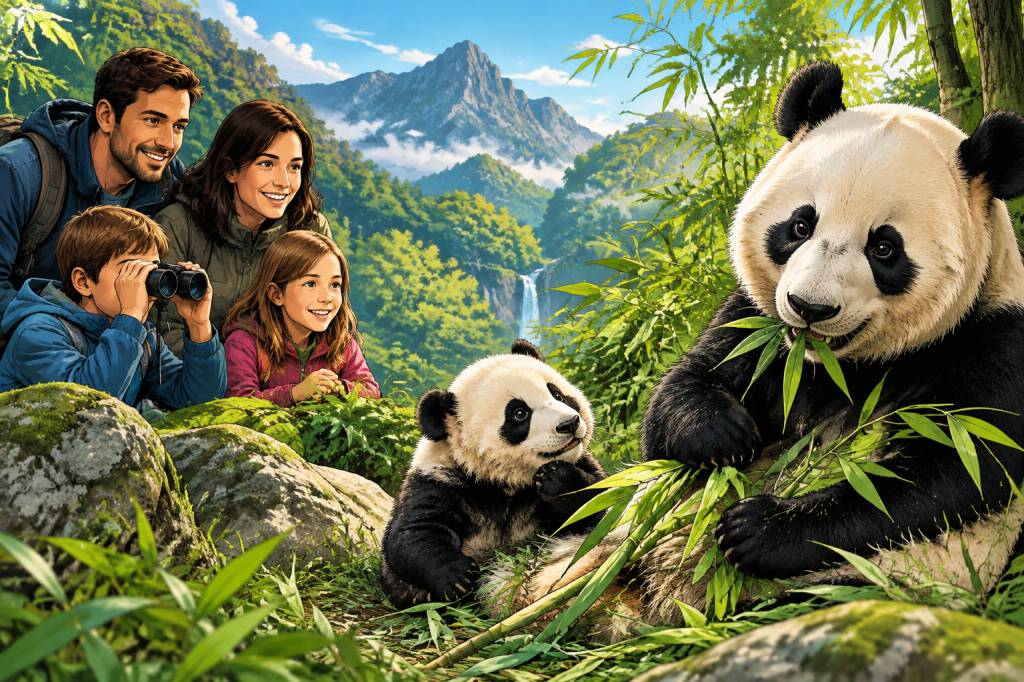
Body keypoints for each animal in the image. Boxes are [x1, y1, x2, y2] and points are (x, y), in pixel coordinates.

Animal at [380, 339, 606, 609]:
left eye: (557, 394)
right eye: (519, 413)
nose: (570, 423)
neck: (504, 481)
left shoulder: (581, 462)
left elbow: (603, 504)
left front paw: (558, 479)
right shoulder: (440, 481)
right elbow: (413, 534)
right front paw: (458, 577)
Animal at [483, 62, 1024, 629]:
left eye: (884, 247)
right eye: (800, 224)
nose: (809, 308)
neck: (835, 365)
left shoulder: (990, 342)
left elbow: (945, 475)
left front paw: (757, 528)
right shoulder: (755, 323)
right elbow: (685, 388)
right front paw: (723, 436)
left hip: (851, 586)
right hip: (609, 541)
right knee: (588, 531)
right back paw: (560, 515)